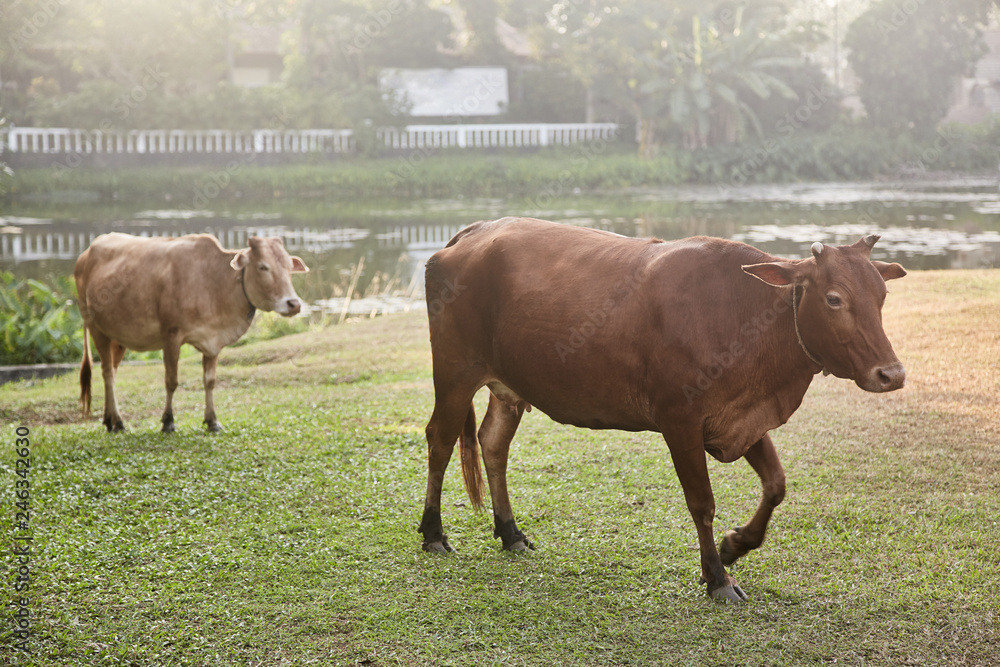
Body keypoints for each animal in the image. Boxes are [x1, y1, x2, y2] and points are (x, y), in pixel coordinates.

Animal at [75, 233, 309, 433]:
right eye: (263, 267)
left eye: (289, 267)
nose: (294, 304)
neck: (214, 284)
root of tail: (85, 254)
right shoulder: (171, 336)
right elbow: (171, 381)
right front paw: (168, 421)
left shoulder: (213, 342)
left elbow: (210, 381)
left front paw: (212, 420)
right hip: (96, 328)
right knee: (107, 373)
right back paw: (118, 421)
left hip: (118, 337)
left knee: (112, 372)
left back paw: (109, 419)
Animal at [419, 217, 906, 602]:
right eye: (834, 298)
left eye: (882, 296)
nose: (892, 373)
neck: (746, 317)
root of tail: (473, 232)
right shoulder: (680, 420)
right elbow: (702, 502)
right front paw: (717, 578)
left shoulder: (741, 419)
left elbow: (776, 484)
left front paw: (734, 546)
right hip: (455, 371)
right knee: (440, 440)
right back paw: (433, 533)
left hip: (508, 386)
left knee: (493, 443)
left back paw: (510, 532)